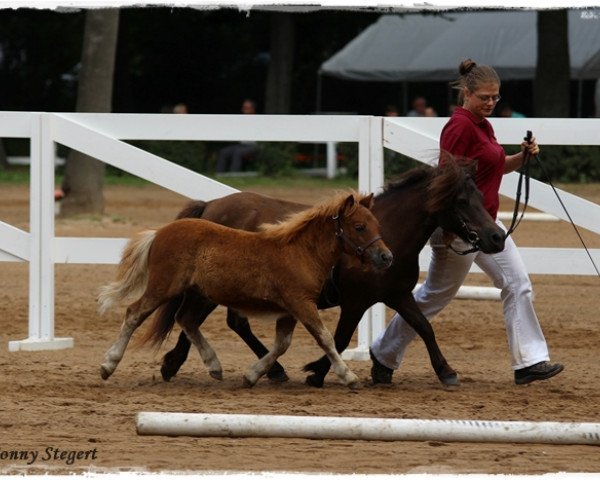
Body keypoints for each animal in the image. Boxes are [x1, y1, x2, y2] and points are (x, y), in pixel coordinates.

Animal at [98, 189, 394, 388]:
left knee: (187, 319)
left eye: (377, 224)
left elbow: (282, 344)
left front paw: (253, 375)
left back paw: (213, 366)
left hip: (197, 293)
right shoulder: (301, 303)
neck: (300, 252)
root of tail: (159, 233)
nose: (386, 257)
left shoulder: (288, 311)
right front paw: (348, 376)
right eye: (359, 226)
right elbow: (326, 338)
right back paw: (108, 365)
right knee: (134, 313)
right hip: (163, 287)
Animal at [156, 161, 506, 386]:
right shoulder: (355, 303)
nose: (497, 237)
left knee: (221, 321)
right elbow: (337, 338)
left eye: (481, 197)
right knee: (198, 318)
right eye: (461, 201)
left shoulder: (398, 294)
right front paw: (318, 371)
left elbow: (424, 327)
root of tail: (211, 205)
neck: (387, 233)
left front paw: (446, 371)